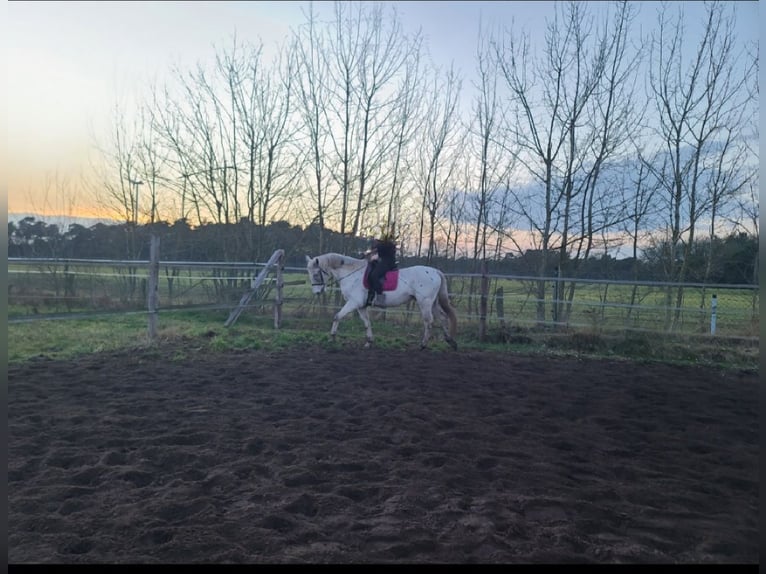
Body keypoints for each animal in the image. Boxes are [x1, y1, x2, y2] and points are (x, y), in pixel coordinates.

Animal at [306, 255, 460, 354]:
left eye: (316, 274)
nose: (317, 292)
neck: (352, 275)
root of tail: (435, 271)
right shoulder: (361, 306)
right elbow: (366, 323)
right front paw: (369, 342)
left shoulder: (353, 303)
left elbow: (337, 316)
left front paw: (332, 337)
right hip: (432, 303)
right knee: (442, 318)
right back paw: (450, 341)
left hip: (425, 302)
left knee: (429, 322)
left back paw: (423, 345)